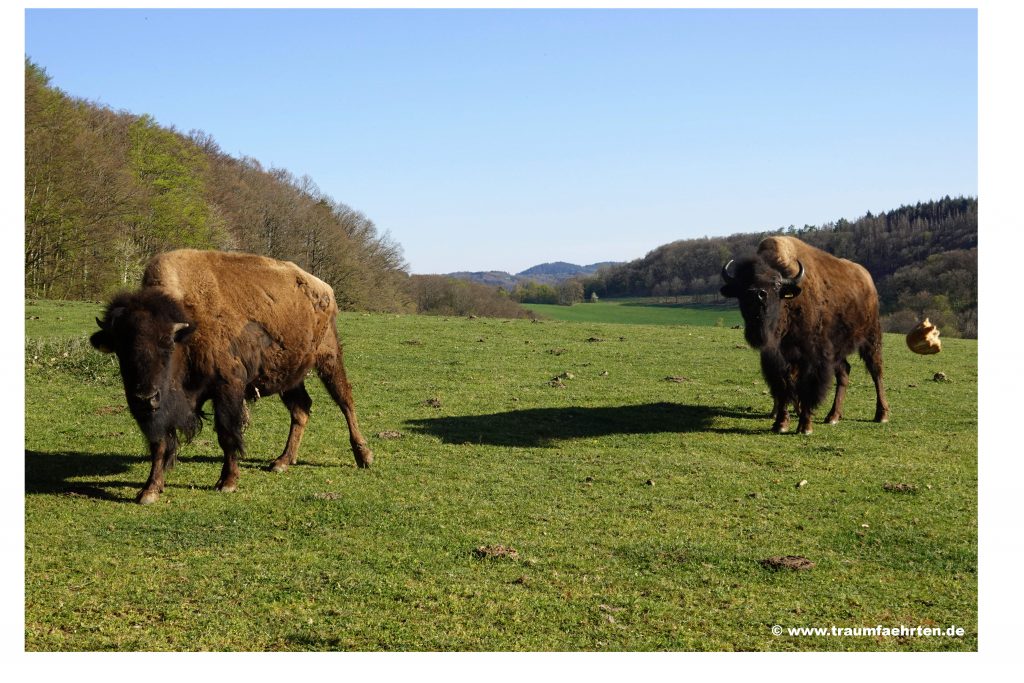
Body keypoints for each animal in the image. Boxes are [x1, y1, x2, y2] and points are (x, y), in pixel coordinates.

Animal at [90, 249, 372, 501]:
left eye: (167, 344)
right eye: (120, 348)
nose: (144, 398)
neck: (188, 327)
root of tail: (324, 288)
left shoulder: (227, 388)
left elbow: (227, 434)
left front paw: (227, 482)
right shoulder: (167, 407)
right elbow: (160, 442)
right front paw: (149, 490)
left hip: (329, 357)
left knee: (345, 401)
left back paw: (364, 456)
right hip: (289, 374)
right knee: (301, 409)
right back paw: (282, 461)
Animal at [720, 237, 888, 436]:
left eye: (776, 284)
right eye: (742, 286)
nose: (757, 295)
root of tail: (867, 279)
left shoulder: (812, 357)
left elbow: (806, 387)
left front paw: (805, 426)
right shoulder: (775, 359)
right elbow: (782, 386)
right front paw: (781, 423)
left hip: (871, 338)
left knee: (876, 371)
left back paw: (881, 414)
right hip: (838, 350)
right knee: (844, 373)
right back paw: (833, 416)